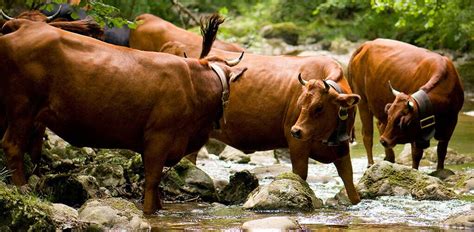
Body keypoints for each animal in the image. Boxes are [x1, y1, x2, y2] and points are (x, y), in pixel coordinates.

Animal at [2, 16, 248, 214]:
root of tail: (25, 25)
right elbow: (152, 180)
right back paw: (23, 188)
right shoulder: (159, 137)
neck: (195, 85)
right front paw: (149, 212)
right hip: (23, 108)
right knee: (12, 146)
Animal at [348, 38, 462, 170]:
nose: (383, 141)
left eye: (403, 121)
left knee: (380, 125)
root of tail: (367, 44)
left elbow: (442, 152)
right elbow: (416, 155)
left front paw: (440, 170)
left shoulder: (451, 124)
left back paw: (389, 157)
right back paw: (371, 163)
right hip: (363, 101)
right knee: (367, 134)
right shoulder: (416, 134)